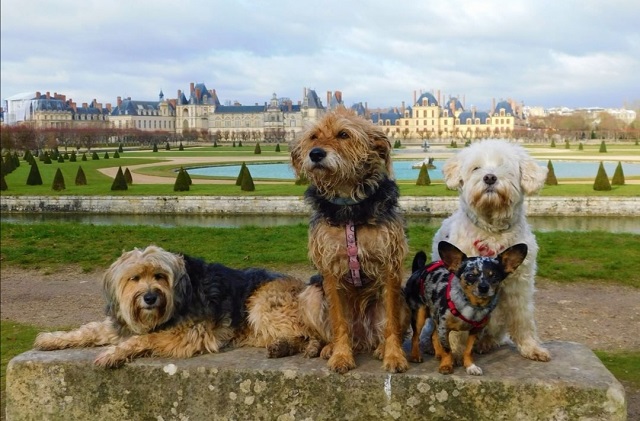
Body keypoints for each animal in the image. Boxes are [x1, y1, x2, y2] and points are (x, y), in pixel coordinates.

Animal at [33, 244, 328, 366]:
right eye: (134, 278)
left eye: (160, 276)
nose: (149, 297)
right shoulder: (123, 324)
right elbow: (88, 329)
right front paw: (52, 339)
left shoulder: (188, 334)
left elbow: (143, 340)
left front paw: (113, 354)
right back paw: (281, 346)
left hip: (262, 305)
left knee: (313, 334)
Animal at [292, 108, 410, 374]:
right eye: (313, 136)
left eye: (343, 134)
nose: (315, 154)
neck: (349, 207)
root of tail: (362, 340)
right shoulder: (331, 269)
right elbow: (338, 321)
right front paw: (341, 356)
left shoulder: (390, 266)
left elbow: (391, 323)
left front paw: (394, 356)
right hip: (310, 296)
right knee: (326, 331)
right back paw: (326, 347)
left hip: (404, 300)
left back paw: (380, 348)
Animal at [402, 240, 528, 374]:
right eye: (471, 276)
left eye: (494, 276)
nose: (483, 287)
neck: (473, 306)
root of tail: (419, 270)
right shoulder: (444, 328)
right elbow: (448, 349)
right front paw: (446, 365)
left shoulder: (475, 331)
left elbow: (468, 350)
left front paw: (470, 366)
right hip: (419, 315)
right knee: (416, 336)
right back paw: (416, 355)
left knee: (433, 335)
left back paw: (439, 354)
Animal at [436, 139, 552, 360]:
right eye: (476, 168)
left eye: (504, 166)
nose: (490, 177)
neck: (491, 232)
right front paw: (452, 350)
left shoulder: (519, 286)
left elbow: (523, 318)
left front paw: (531, 347)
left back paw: (486, 342)